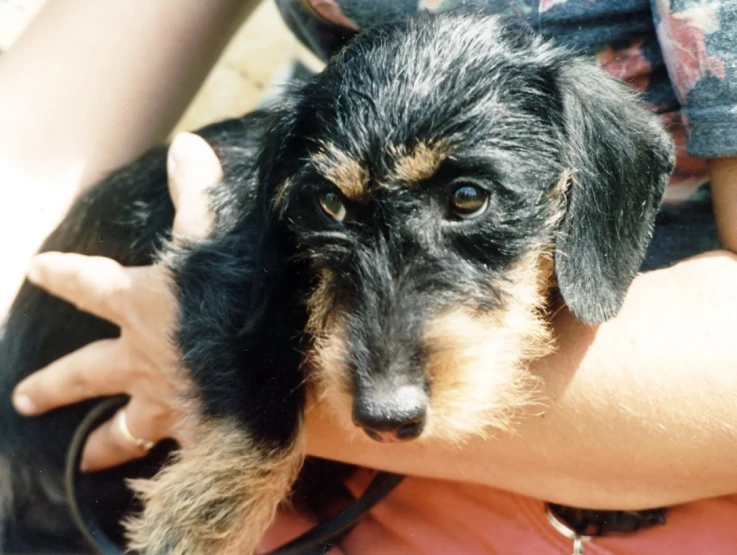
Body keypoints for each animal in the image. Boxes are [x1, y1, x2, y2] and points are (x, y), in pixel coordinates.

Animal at [0, 9, 720, 555]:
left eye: (468, 196)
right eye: (329, 205)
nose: (385, 417)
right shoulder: (219, 273)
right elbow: (260, 396)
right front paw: (197, 523)